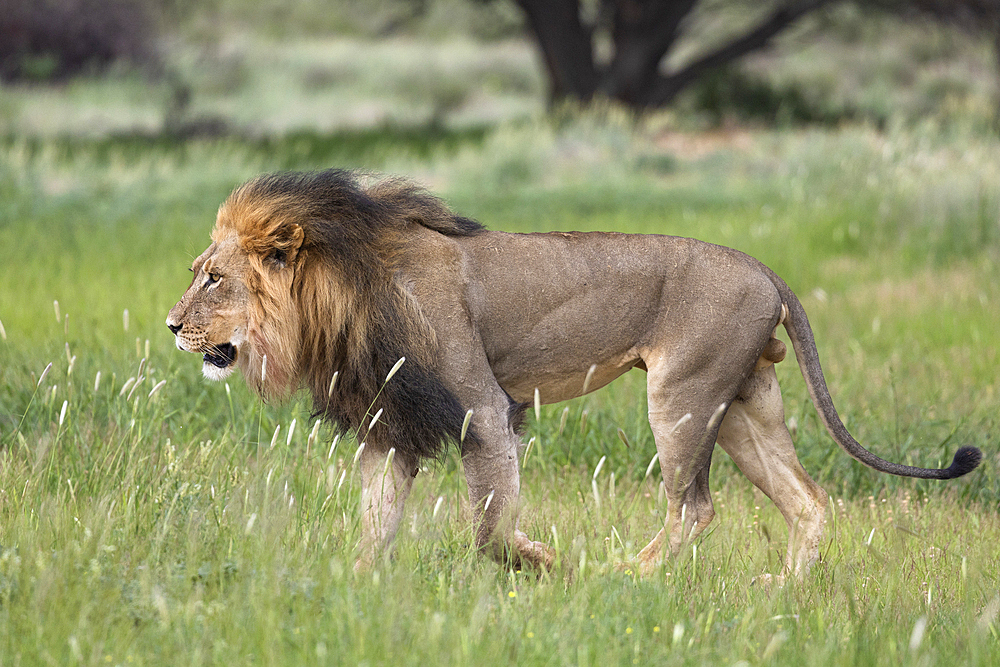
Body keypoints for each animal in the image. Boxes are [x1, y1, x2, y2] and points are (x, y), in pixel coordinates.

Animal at [168, 170, 980, 580]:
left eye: (213, 279)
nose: (172, 326)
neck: (339, 293)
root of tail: (765, 269)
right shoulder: (389, 424)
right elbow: (376, 519)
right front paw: (359, 583)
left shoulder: (482, 409)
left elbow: (491, 528)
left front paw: (545, 560)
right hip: (744, 405)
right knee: (807, 501)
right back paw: (781, 591)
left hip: (680, 395)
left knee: (694, 507)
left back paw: (629, 574)